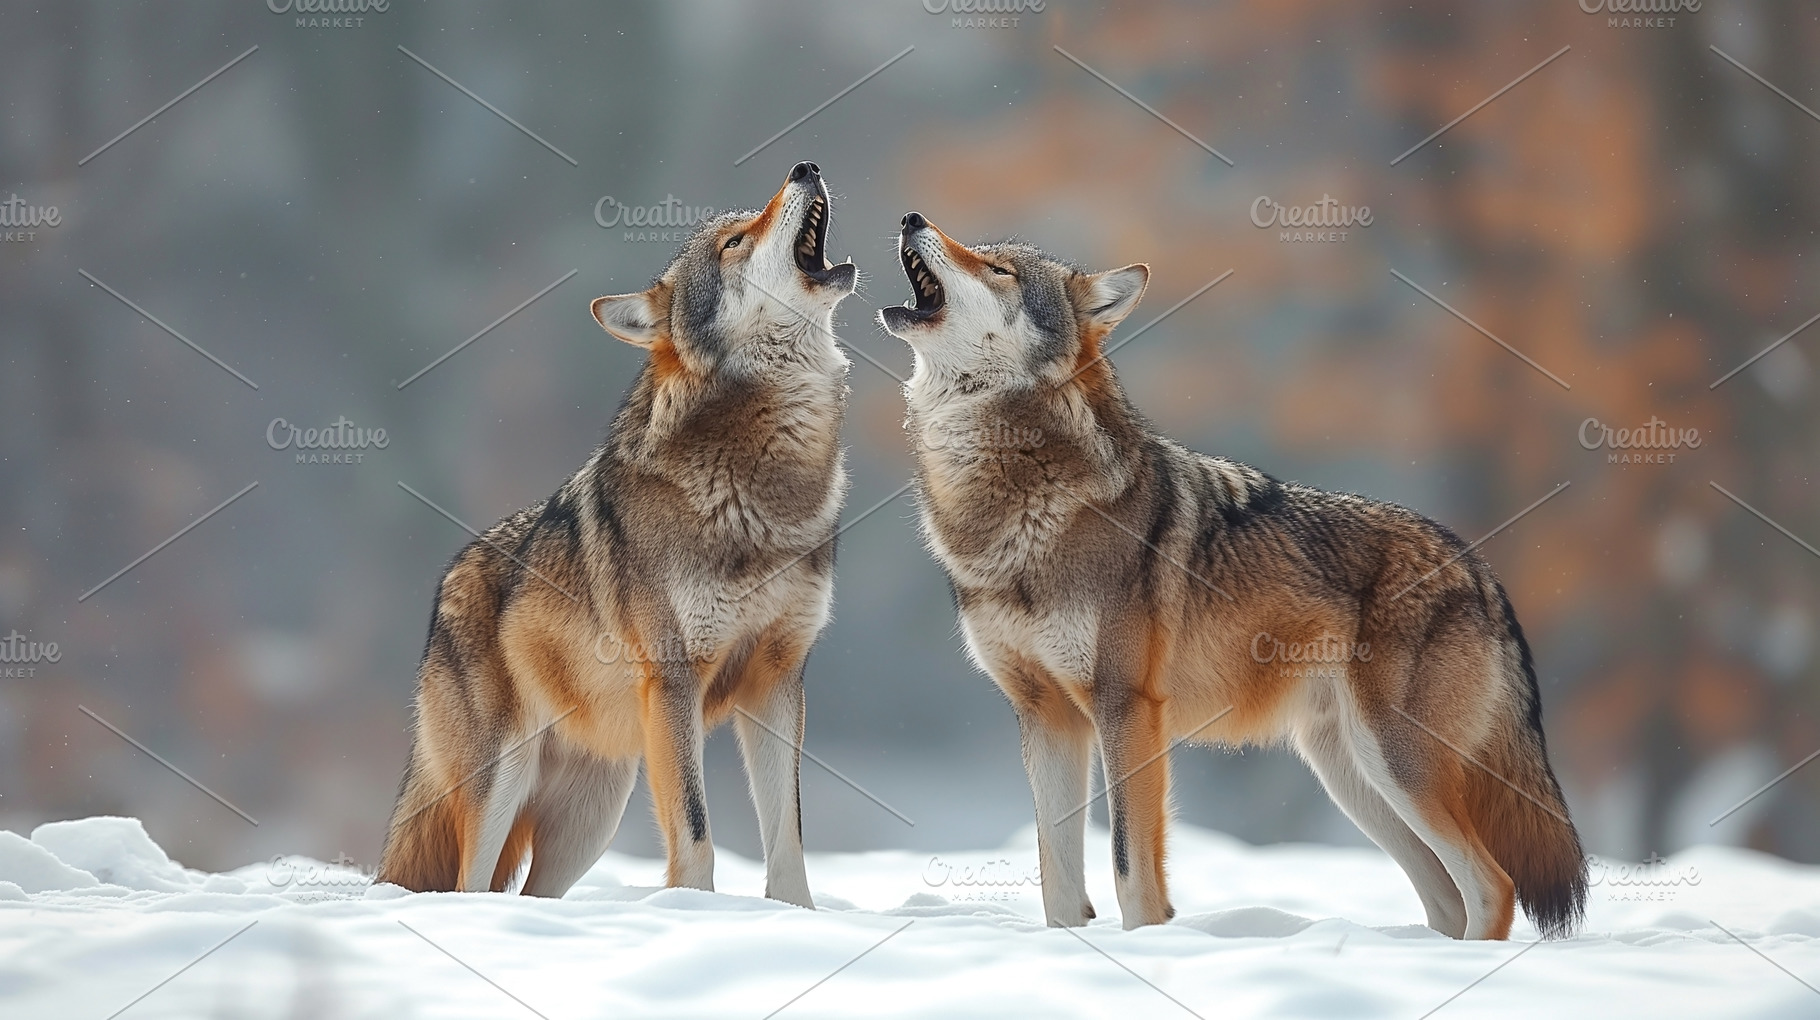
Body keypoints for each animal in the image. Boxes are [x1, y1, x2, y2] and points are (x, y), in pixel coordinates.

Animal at [376, 161, 856, 905]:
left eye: (744, 224)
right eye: (734, 242)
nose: (804, 167)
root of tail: (447, 581)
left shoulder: (778, 681)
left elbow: (788, 839)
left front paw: (796, 916)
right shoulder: (674, 679)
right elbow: (696, 830)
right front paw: (693, 914)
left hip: (592, 821)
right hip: (503, 786)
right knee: (466, 886)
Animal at [877, 211, 1586, 940]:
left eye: (998, 270)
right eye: (982, 251)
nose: (912, 217)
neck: (1017, 504)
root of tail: (1478, 564)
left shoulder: (1127, 709)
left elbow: (1131, 870)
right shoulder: (1047, 718)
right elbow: (1058, 885)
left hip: (1397, 763)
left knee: (1493, 886)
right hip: (1355, 778)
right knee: (1447, 898)